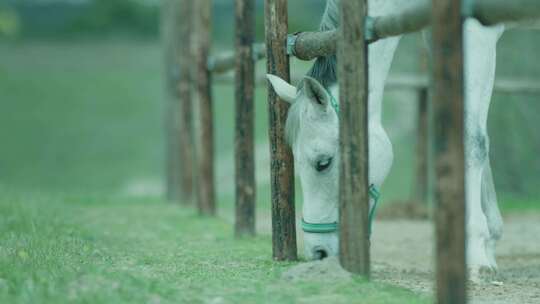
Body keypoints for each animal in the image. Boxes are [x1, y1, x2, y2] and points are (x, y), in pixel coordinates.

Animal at [268, 0, 504, 282]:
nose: (318, 253)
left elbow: (472, 142)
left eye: (323, 163)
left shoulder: (475, 32)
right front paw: (490, 245)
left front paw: (477, 256)